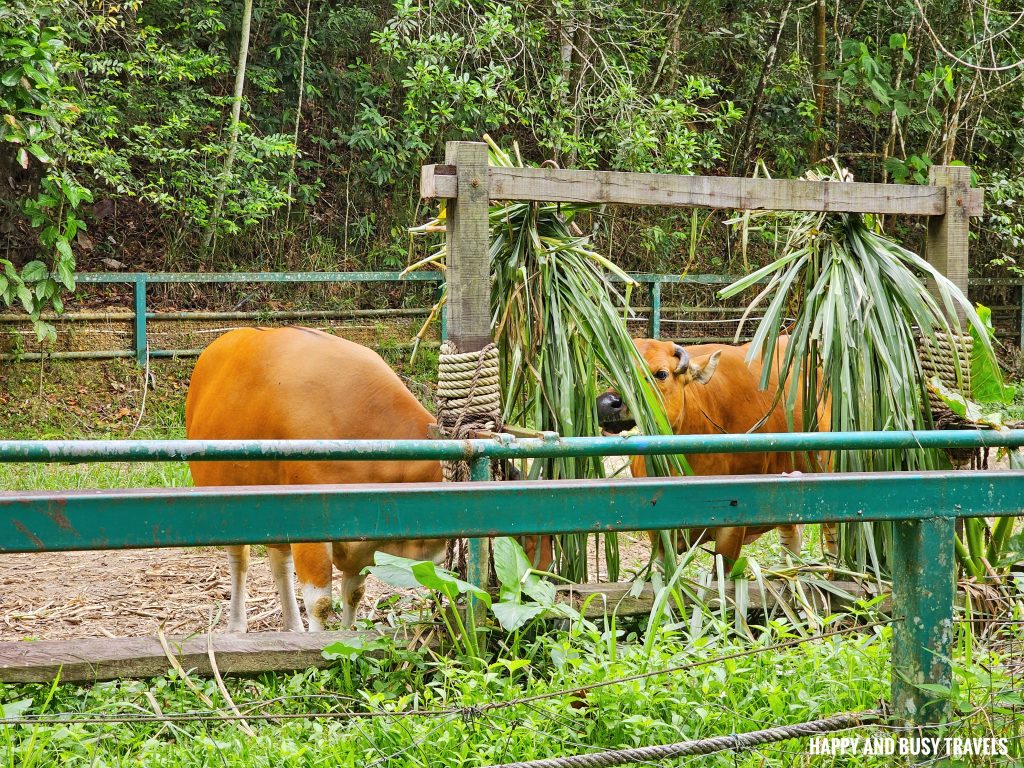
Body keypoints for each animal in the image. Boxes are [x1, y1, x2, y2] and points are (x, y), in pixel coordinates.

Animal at [186, 327, 442, 634]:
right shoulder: (312, 530)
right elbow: (320, 604)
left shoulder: (364, 543)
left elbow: (354, 594)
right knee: (240, 561)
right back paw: (237, 625)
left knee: (279, 562)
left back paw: (293, 627)